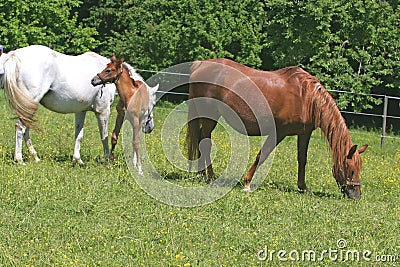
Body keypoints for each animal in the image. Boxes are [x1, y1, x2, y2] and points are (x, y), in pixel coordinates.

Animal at [188, 59, 368, 201]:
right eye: (351, 169)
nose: (356, 195)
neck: (306, 98)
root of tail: (201, 64)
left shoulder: (304, 133)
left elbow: (302, 159)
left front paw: (303, 187)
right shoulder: (279, 132)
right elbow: (262, 155)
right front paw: (247, 183)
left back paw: (203, 174)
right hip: (209, 116)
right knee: (205, 143)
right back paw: (210, 177)